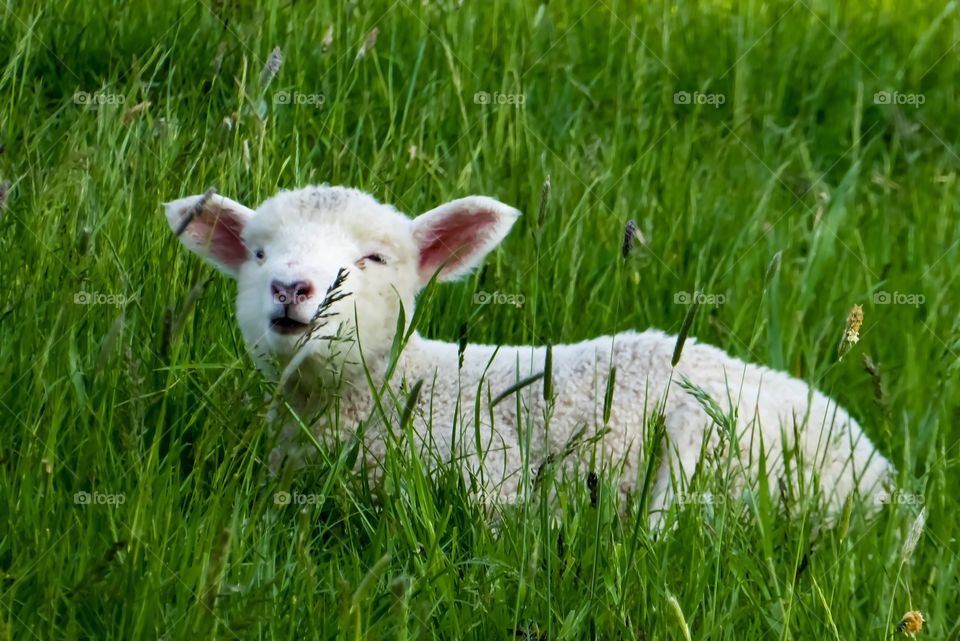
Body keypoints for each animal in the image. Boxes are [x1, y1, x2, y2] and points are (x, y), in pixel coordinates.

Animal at [163, 184, 892, 520]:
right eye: (258, 254)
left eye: (374, 259)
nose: (292, 288)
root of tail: (882, 480)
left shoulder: (490, 479)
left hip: (715, 448)